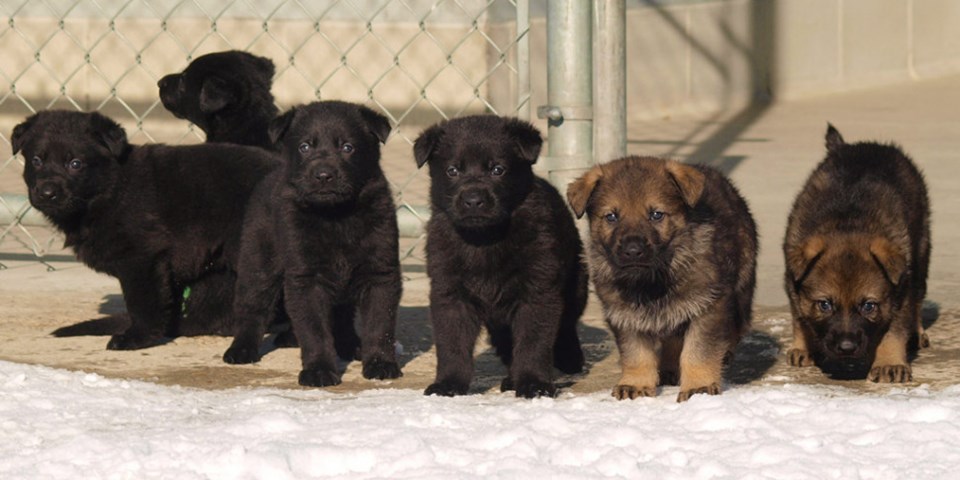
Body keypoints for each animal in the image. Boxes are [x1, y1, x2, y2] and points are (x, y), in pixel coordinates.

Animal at [14, 109, 278, 348]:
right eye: (36, 161)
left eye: (75, 164)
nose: (47, 193)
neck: (111, 190)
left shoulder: (143, 257)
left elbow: (143, 303)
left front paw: (137, 338)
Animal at [223, 100, 404, 386]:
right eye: (305, 147)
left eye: (347, 147)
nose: (323, 175)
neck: (336, 216)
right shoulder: (306, 277)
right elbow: (314, 329)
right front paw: (318, 370)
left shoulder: (380, 272)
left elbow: (379, 324)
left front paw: (380, 363)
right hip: (258, 261)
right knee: (253, 306)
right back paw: (241, 349)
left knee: (342, 315)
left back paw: (350, 345)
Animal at [416, 113, 588, 398]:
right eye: (453, 171)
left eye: (498, 170)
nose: (473, 200)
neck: (484, 239)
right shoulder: (449, 293)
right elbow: (452, 344)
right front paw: (448, 384)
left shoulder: (538, 290)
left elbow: (533, 342)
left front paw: (534, 383)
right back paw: (511, 378)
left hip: (575, 284)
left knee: (566, 324)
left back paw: (569, 358)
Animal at [568, 157, 756, 402]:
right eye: (611, 217)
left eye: (656, 215)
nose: (633, 251)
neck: (652, 279)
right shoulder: (624, 313)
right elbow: (635, 352)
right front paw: (636, 383)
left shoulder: (709, 305)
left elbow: (699, 350)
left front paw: (699, 386)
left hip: (741, 293)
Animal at [784, 124, 932, 382]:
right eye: (824, 305)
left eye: (869, 306)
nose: (846, 348)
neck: (848, 223)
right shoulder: (792, 283)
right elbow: (800, 319)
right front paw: (803, 348)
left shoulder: (900, 292)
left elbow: (893, 331)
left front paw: (890, 363)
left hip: (920, 254)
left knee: (917, 297)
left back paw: (917, 333)